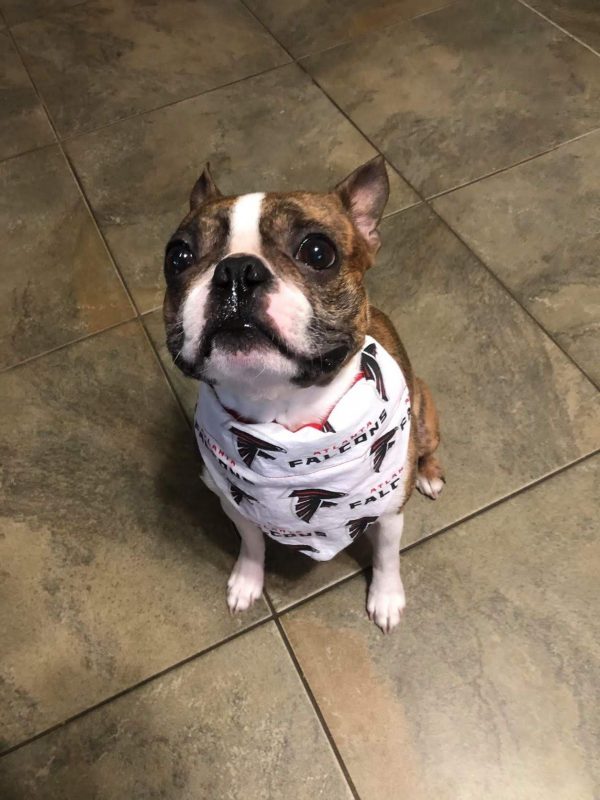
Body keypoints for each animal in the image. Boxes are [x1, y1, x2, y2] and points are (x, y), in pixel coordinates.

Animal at [162, 158, 442, 632]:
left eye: (317, 252)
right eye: (178, 257)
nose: (236, 271)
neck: (282, 411)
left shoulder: (388, 513)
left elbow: (387, 557)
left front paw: (386, 598)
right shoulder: (235, 504)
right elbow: (252, 542)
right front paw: (247, 581)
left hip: (425, 407)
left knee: (426, 447)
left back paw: (429, 473)